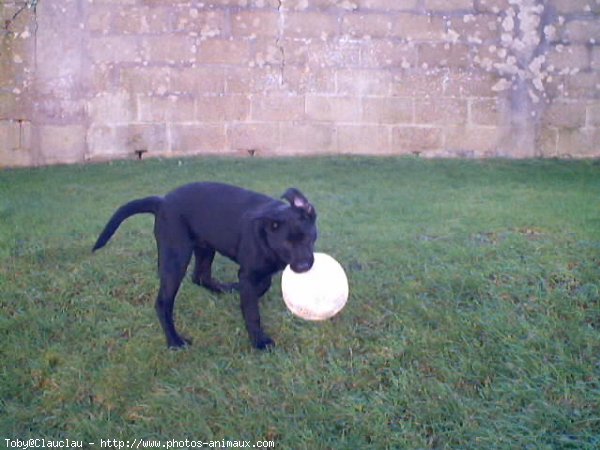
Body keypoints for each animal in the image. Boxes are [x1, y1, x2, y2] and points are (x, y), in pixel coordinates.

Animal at [91, 181, 316, 350]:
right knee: (163, 302)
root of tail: (162, 201)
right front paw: (259, 341)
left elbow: (262, 285)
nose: (304, 266)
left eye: (307, 237)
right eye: (286, 243)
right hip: (176, 257)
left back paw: (225, 289)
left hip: (205, 247)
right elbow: (253, 311)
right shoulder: (248, 273)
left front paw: (243, 294)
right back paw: (175, 341)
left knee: (200, 277)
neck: (267, 232)